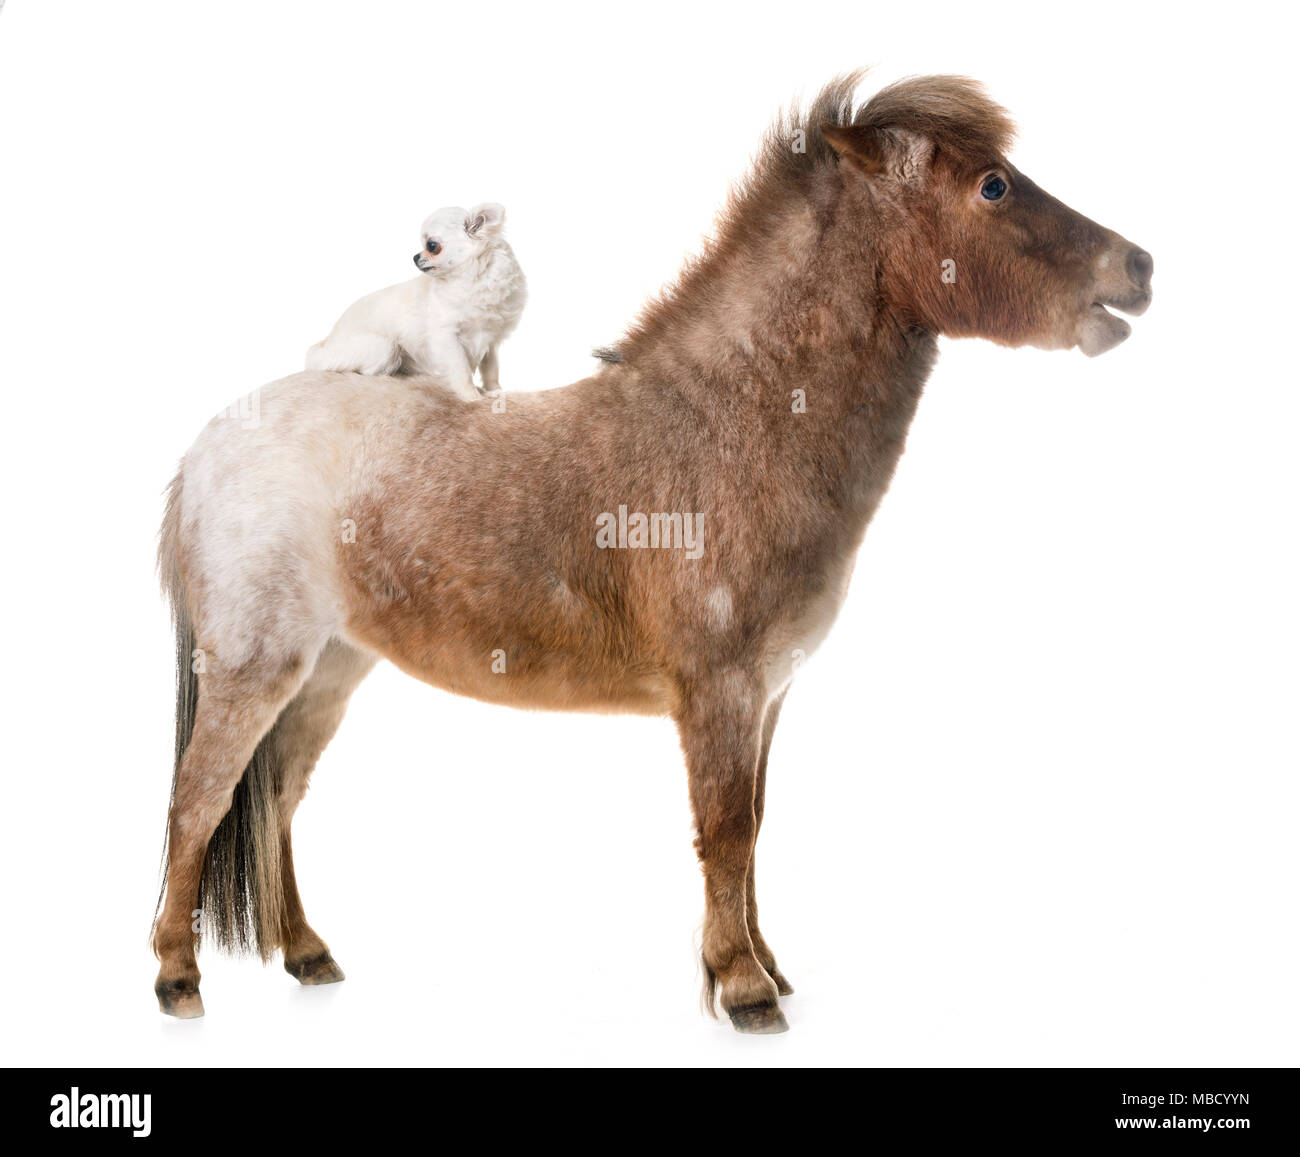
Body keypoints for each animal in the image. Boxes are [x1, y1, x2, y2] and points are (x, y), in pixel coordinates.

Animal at [152, 72, 1152, 1033]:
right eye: (993, 185)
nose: (1138, 265)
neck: (733, 424)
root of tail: (206, 447)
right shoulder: (719, 690)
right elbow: (725, 829)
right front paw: (744, 988)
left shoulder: (766, 695)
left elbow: (754, 824)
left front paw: (766, 968)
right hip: (254, 667)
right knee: (199, 799)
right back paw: (177, 979)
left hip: (329, 668)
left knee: (277, 796)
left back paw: (307, 953)